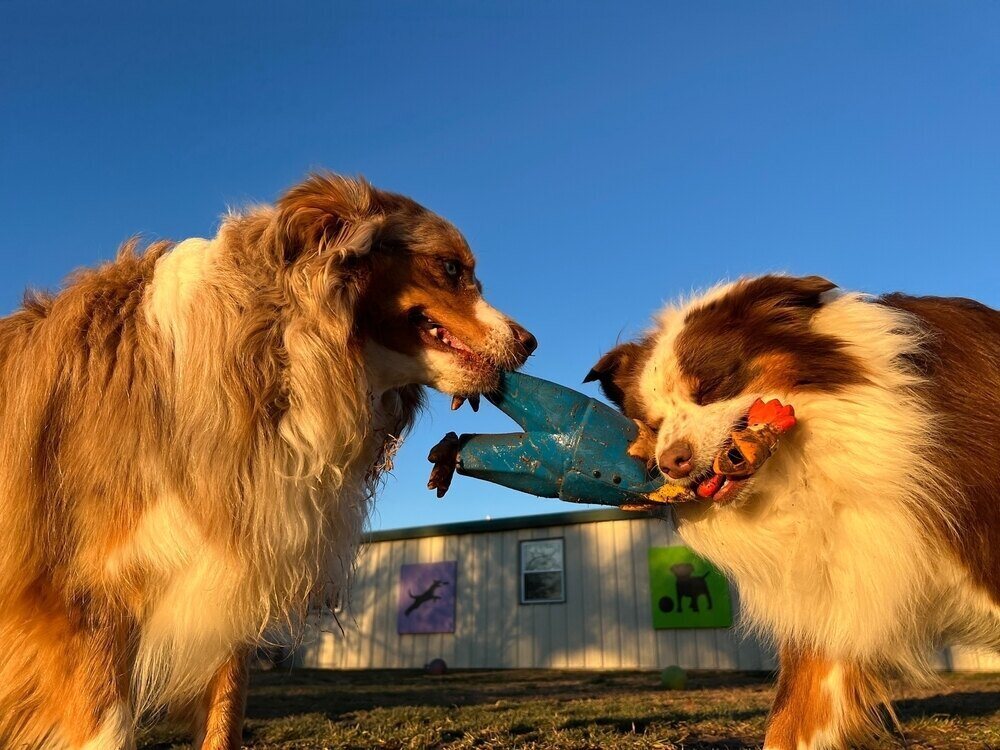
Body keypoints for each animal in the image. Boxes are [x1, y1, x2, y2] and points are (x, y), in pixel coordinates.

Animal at [0, 175, 536, 750]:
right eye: (452, 267)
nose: (531, 342)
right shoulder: (78, 597)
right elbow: (110, 728)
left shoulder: (230, 576)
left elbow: (224, 719)